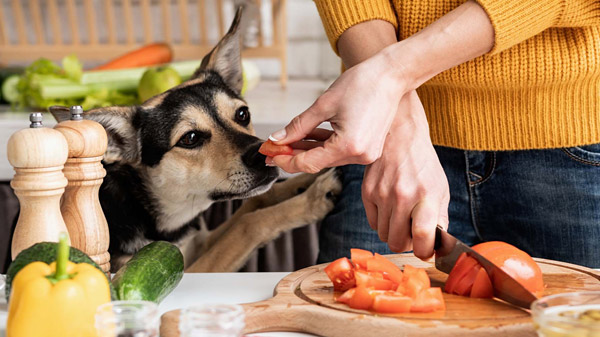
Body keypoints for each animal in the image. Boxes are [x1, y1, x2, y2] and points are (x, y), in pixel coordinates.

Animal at [49, 7, 340, 272]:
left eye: (242, 114)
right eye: (190, 138)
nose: (262, 154)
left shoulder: (199, 242)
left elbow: (253, 203)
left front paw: (306, 180)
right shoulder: (184, 270)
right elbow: (248, 225)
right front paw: (312, 200)